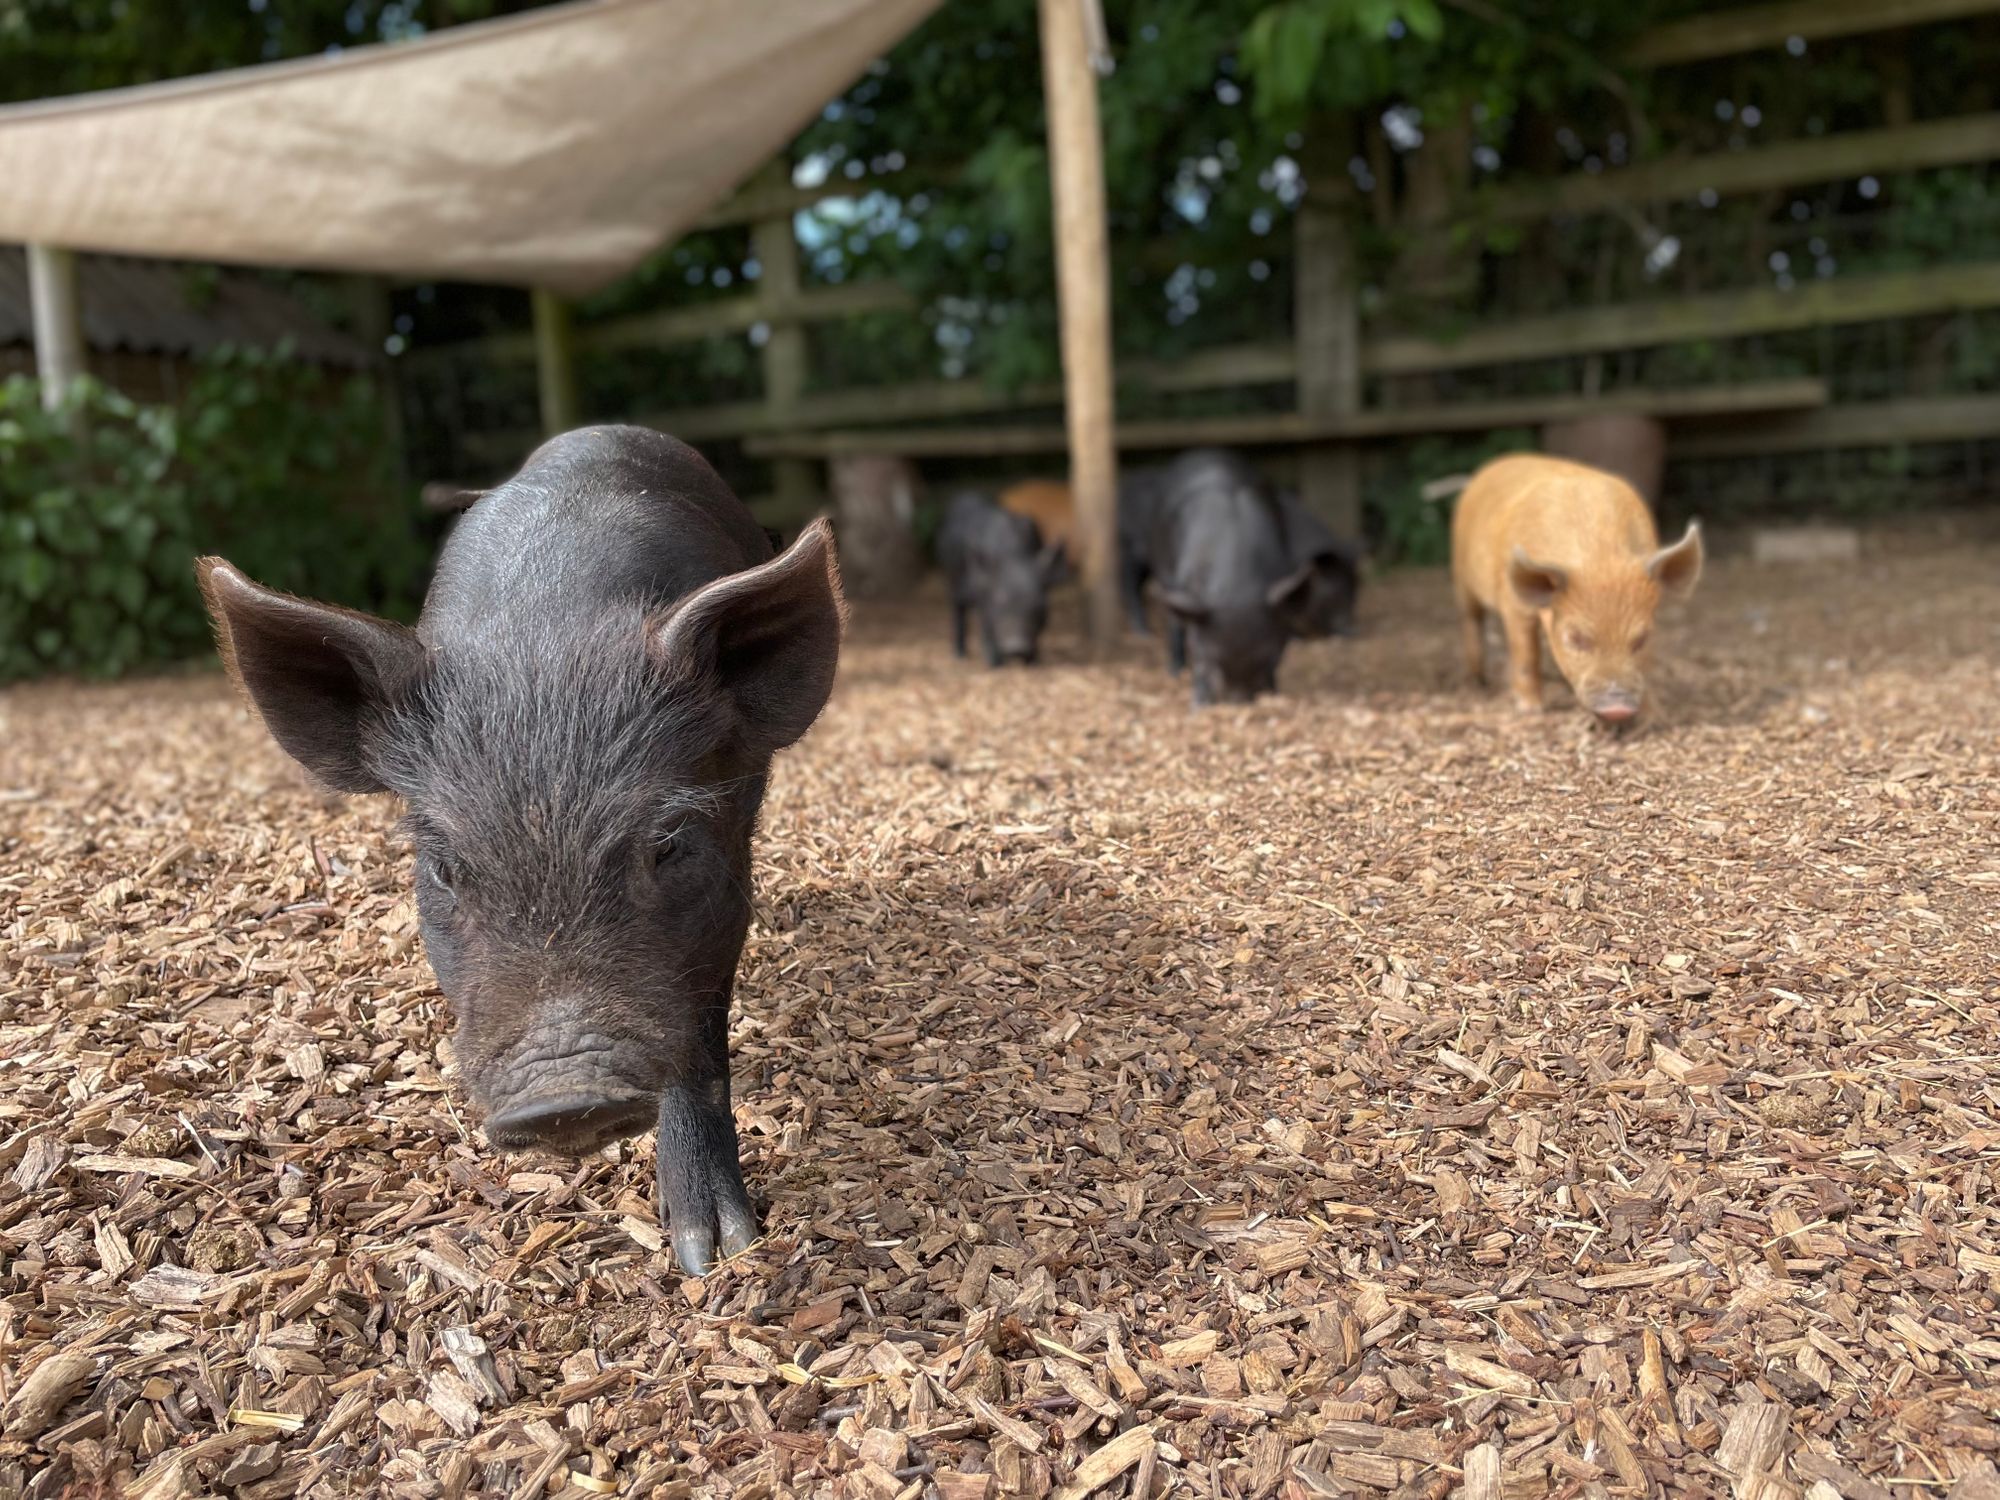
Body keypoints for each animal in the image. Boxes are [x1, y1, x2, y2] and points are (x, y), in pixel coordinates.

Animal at [196, 425, 844, 1275]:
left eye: (667, 844)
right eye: (444, 867)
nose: (565, 1095)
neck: (548, 635)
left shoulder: (728, 872)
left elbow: (699, 1039)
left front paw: (715, 1253)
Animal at [937, 490, 1063, 665]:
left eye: (1038, 603)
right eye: (999, 600)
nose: (1017, 648)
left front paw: (1032, 662)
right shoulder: (982, 594)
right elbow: (987, 626)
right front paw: (995, 664)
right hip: (952, 578)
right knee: (958, 611)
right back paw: (960, 655)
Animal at [1133, 449, 1341, 706]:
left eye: (1269, 657)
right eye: (1212, 660)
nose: (1236, 703)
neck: (1239, 589)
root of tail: (1204, 451)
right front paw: (1198, 705)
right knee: (1174, 624)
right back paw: (1175, 671)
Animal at [1450, 452, 1702, 728]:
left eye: (1643, 638)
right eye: (1575, 637)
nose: (1617, 709)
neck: (1599, 556)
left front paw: (1655, 719)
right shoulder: (1515, 605)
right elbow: (1526, 653)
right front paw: (1531, 710)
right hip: (1462, 576)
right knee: (1471, 620)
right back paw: (1477, 682)